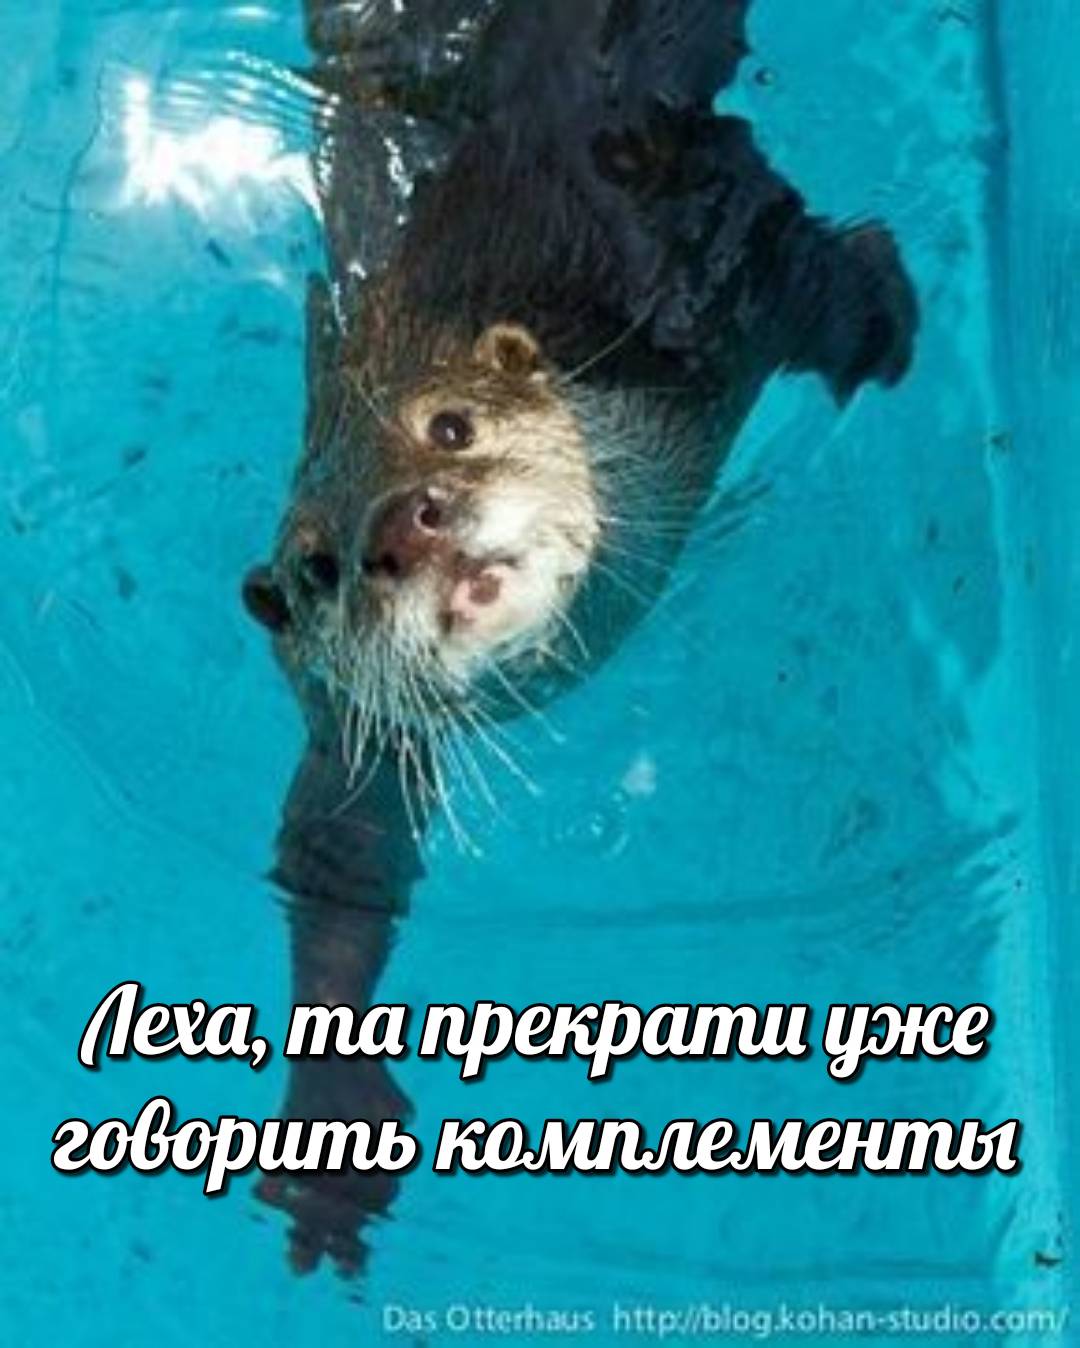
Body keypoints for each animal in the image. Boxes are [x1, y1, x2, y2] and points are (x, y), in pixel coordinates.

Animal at [242, 0, 917, 1275]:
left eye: (451, 426)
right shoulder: (357, 731)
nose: (405, 521)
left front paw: (886, 319)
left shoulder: (706, 284)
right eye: (319, 565)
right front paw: (330, 1126)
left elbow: (815, 267)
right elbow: (345, 859)